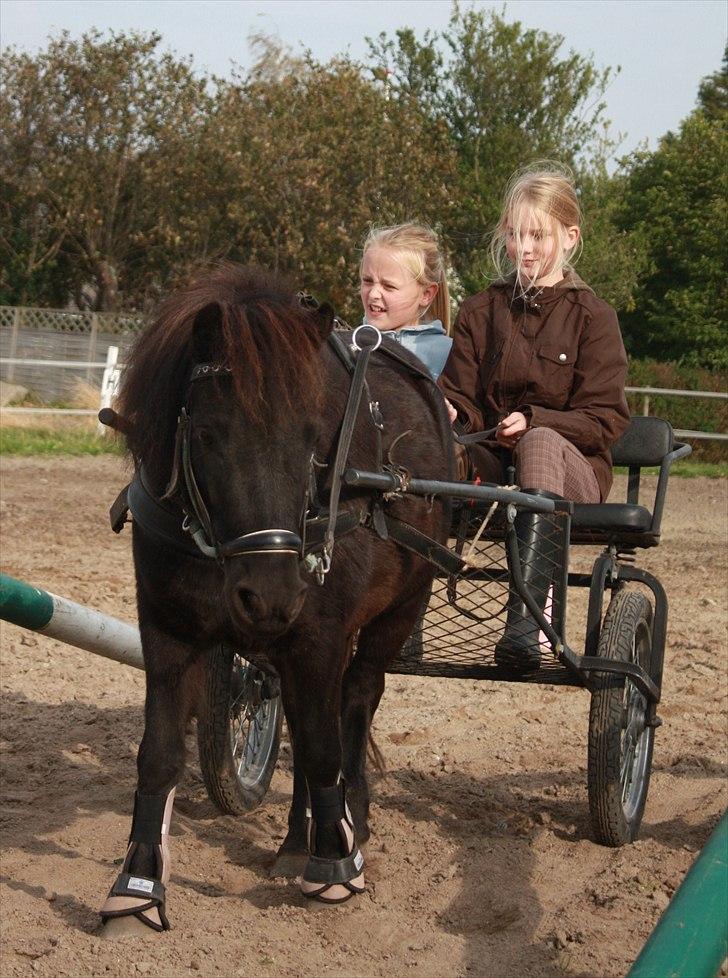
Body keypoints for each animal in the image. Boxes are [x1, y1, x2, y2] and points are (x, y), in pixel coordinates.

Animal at [99, 264, 452, 932]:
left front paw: (336, 864)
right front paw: (137, 884)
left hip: (399, 610)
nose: (270, 595)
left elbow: (320, 749)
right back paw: (294, 842)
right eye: (207, 433)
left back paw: (348, 822)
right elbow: (159, 754)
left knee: (355, 703)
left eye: (313, 435)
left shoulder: (319, 636)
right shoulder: (166, 631)